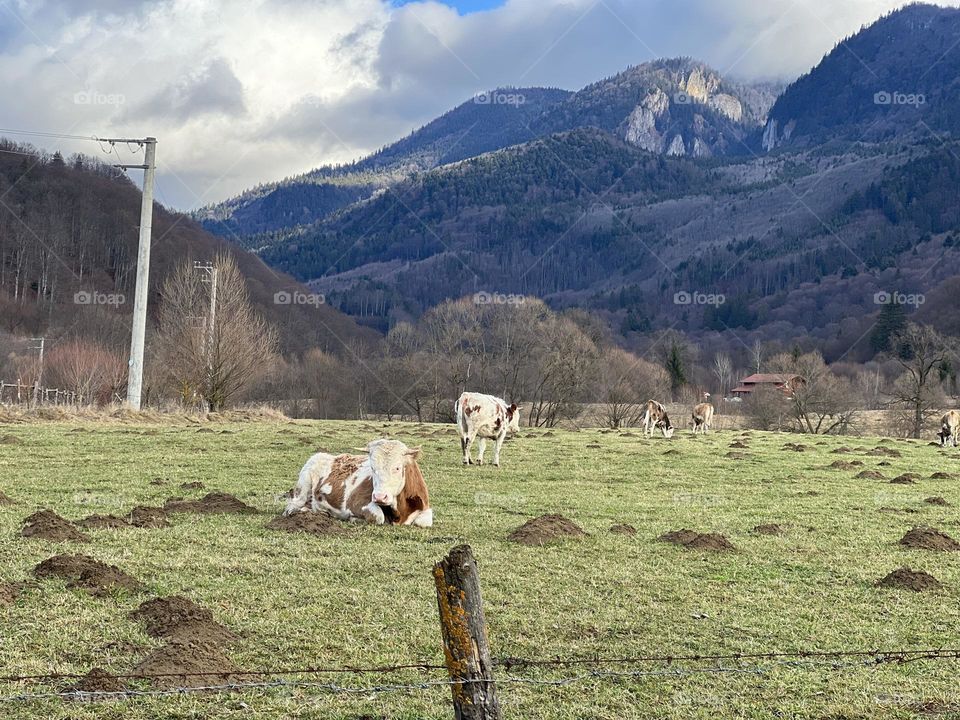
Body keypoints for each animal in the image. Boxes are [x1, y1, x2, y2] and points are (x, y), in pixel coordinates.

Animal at [282, 436, 432, 524]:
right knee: (291, 506)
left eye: (397, 468)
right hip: (302, 488)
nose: (379, 497)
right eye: (372, 467)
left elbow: (424, 521)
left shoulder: (425, 507)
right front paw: (354, 518)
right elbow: (378, 517)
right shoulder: (356, 503)